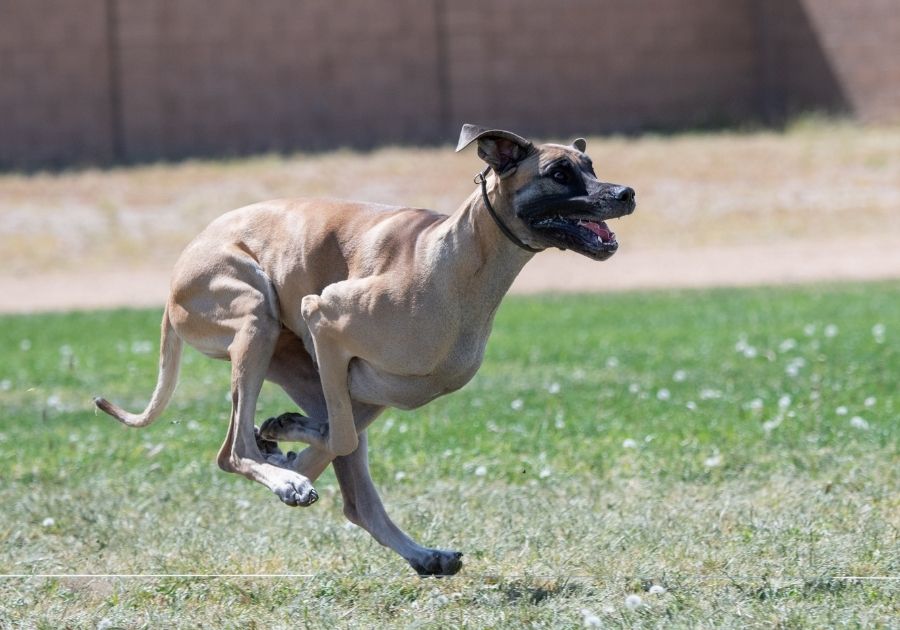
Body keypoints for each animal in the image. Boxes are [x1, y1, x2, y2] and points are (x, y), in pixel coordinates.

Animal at [95, 124, 632, 576]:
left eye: (592, 166)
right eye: (559, 173)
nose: (626, 193)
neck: (456, 262)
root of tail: (174, 281)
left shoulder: (373, 389)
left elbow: (336, 440)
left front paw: (289, 440)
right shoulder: (323, 316)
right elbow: (338, 436)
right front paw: (288, 458)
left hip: (303, 364)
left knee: (352, 496)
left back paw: (416, 549)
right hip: (255, 318)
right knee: (234, 451)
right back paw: (284, 475)